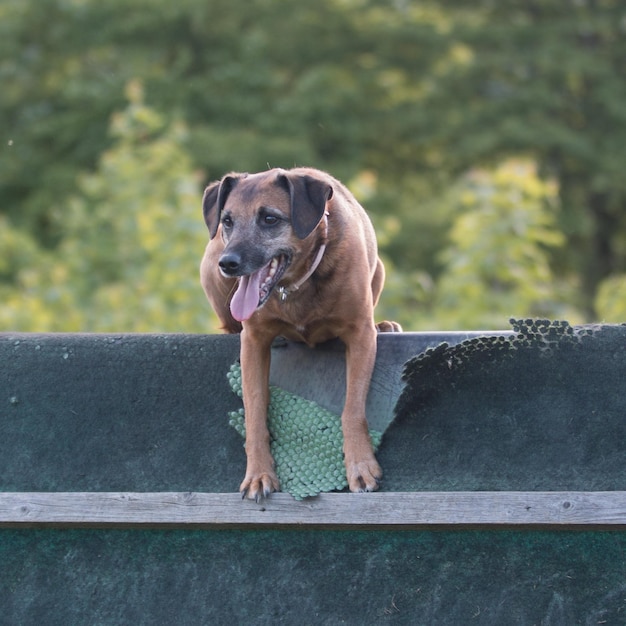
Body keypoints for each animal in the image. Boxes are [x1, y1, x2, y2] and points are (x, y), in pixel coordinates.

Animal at [200, 166, 400, 498]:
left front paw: (360, 465)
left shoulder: (359, 335)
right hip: (210, 265)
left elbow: (352, 408)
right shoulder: (253, 342)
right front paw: (258, 474)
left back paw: (385, 325)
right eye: (227, 220)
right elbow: (255, 411)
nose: (229, 263)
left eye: (270, 218)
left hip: (380, 271)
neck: (296, 283)